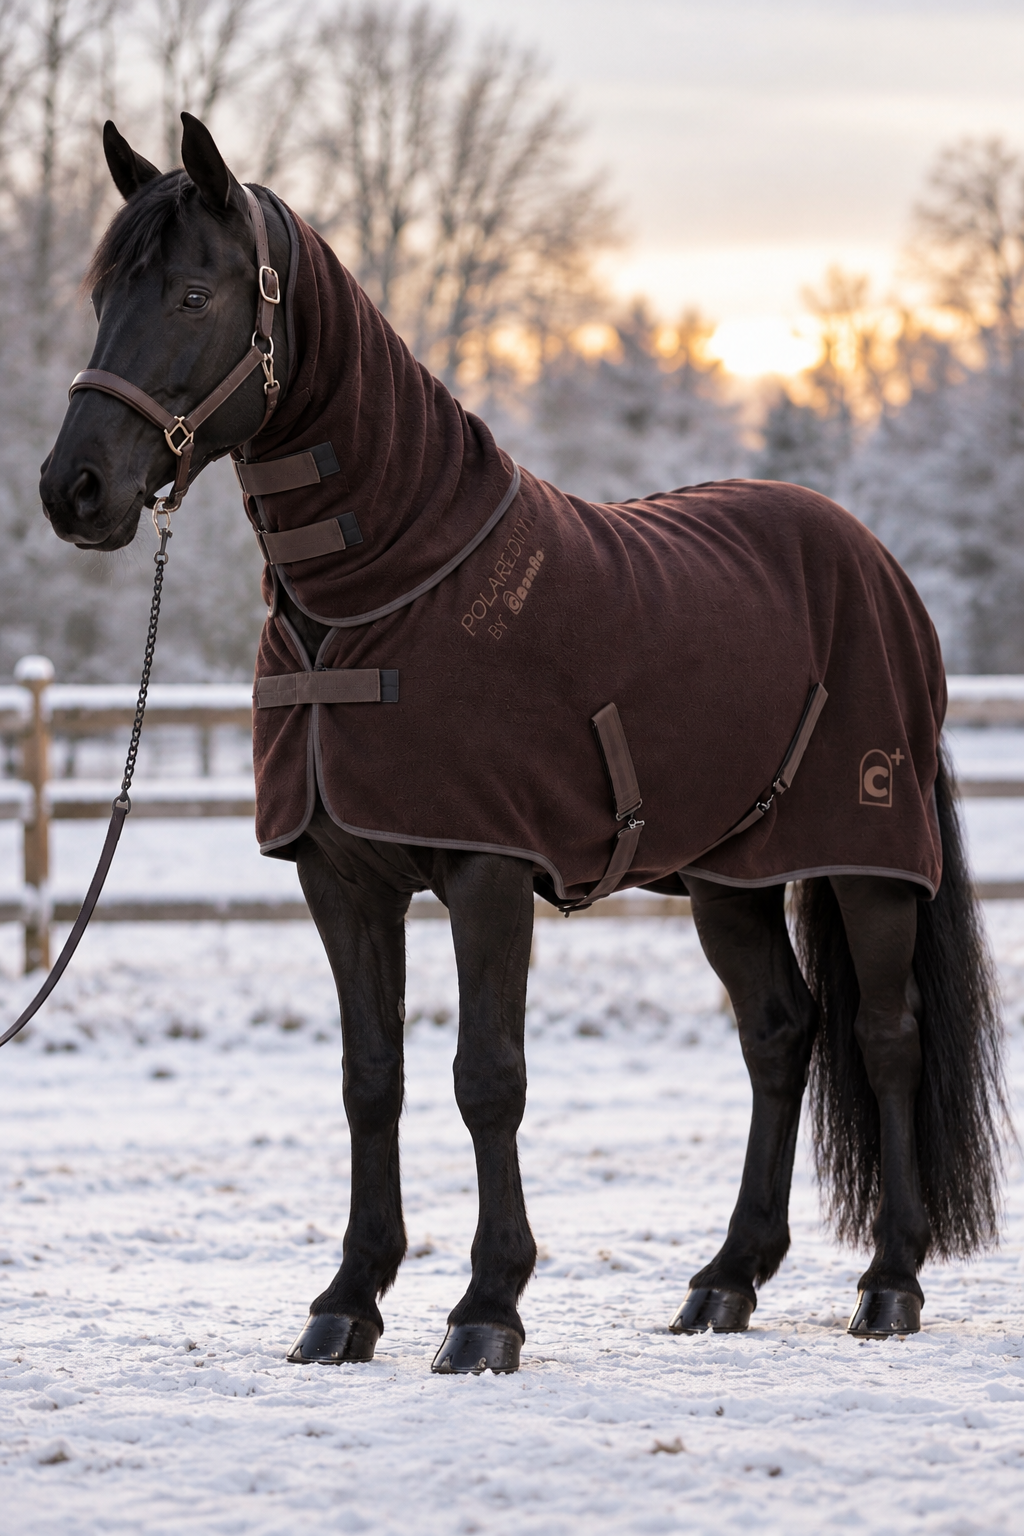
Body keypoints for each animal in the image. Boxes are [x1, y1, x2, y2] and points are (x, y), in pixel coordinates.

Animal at [38, 113, 1006, 1374]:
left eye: (195, 293)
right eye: (104, 292)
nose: (74, 489)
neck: (386, 586)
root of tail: (876, 565)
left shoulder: (488, 872)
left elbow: (485, 1078)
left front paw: (486, 1307)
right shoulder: (339, 880)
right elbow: (371, 1079)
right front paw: (346, 1302)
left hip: (866, 861)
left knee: (887, 1036)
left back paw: (888, 1283)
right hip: (729, 878)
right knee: (779, 1034)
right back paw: (723, 1280)